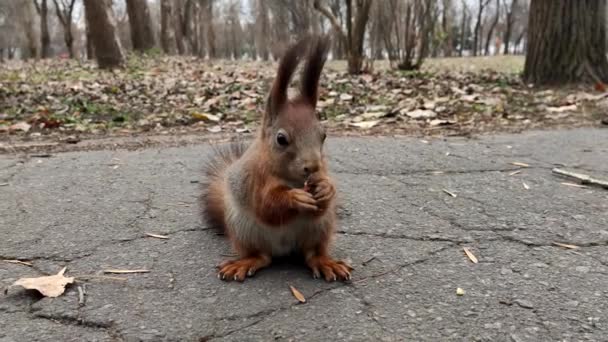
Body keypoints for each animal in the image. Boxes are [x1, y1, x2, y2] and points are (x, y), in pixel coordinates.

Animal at [200, 34, 352, 282]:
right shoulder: (255, 179)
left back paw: (325, 262)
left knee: (311, 253)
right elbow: (266, 207)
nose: (312, 167)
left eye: (324, 135)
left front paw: (326, 189)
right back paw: (245, 262)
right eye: (281, 139)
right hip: (244, 229)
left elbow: (323, 199)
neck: (293, 180)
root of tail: (284, 249)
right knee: (262, 256)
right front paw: (294, 199)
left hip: (321, 227)